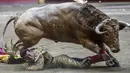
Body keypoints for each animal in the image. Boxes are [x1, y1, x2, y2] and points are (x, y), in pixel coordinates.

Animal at [2, 1, 130, 66]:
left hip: (28, 39)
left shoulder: (98, 40)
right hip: (32, 39)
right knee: (18, 46)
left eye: (117, 31)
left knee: (19, 46)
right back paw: (16, 58)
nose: (116, 49)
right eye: (107, 33)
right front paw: (109, 61)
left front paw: (114, 61)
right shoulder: (85, 41)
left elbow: (104, 49)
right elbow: (99, 50)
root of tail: (18, 16)